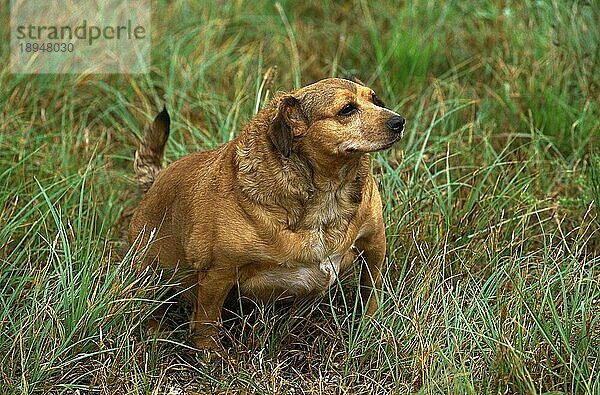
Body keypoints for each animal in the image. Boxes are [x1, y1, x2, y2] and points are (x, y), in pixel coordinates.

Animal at [129, 78, 406, 350]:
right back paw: (154, 330)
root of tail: (153, 183)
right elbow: (207, 324)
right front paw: (212, 357)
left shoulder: (375, 245)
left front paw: (369, 330)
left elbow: (371, 293)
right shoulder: (218, 274)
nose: (399, 121)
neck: (328, 194)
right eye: (347, 109)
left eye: (374, 99)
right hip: (148, 273)